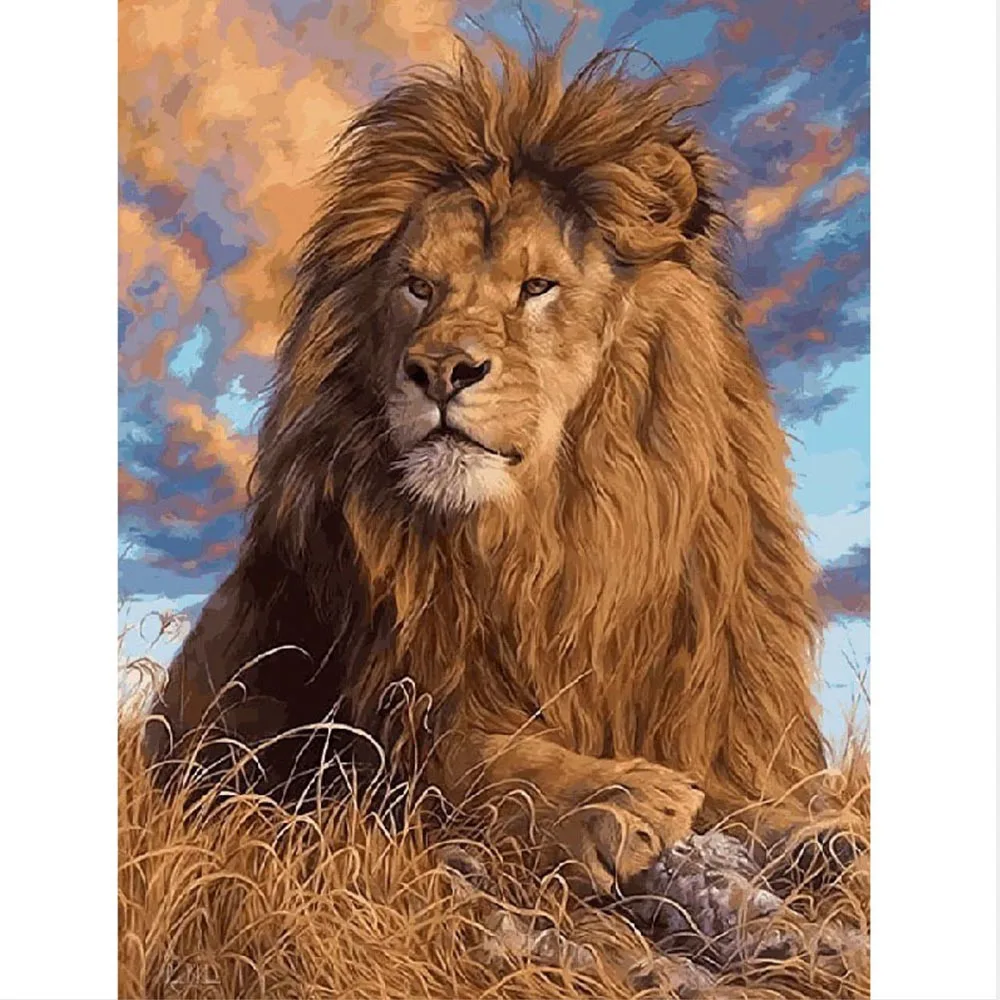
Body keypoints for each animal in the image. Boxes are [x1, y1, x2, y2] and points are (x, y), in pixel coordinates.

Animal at [148, 37, 844, 897]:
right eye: (418, 287)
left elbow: (750, 790)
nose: (441, 369)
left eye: (537, 286)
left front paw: (813, 831)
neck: (550, 540)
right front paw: (615, 798)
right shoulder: (377, 724)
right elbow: (482, 761)